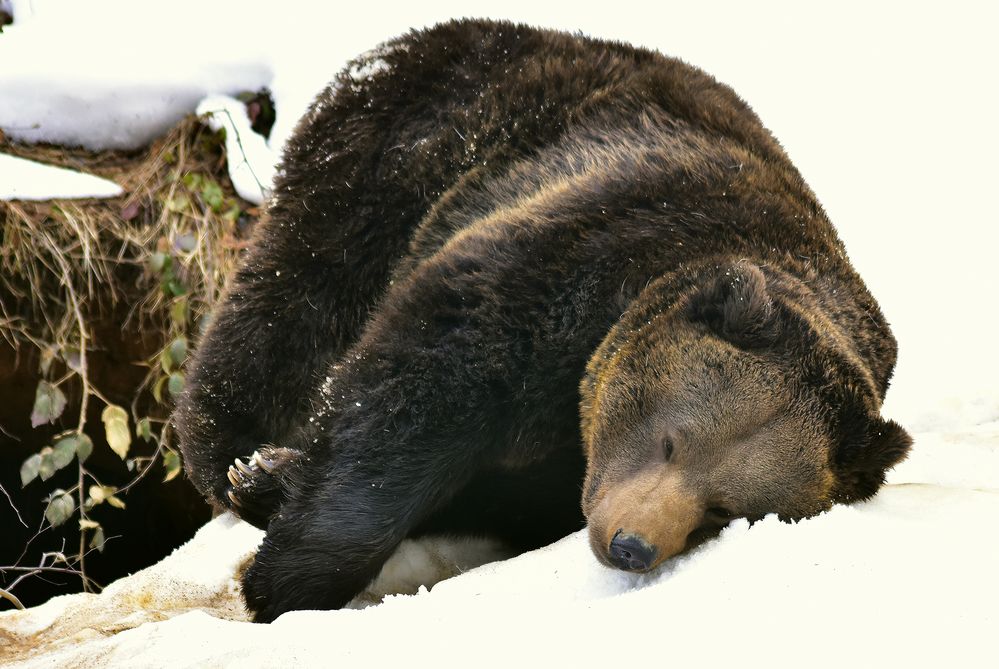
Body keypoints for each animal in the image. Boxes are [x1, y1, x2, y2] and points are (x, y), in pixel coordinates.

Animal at [174, 19, 916, 620]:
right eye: (672, 440)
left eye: (724, 508)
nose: (632, 544)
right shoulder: (577, 256)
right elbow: (418, 388)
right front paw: (282, 575)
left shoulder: (550, 471)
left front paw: (277, 492)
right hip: (393, 160)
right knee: (288, 313)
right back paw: (233, 448)